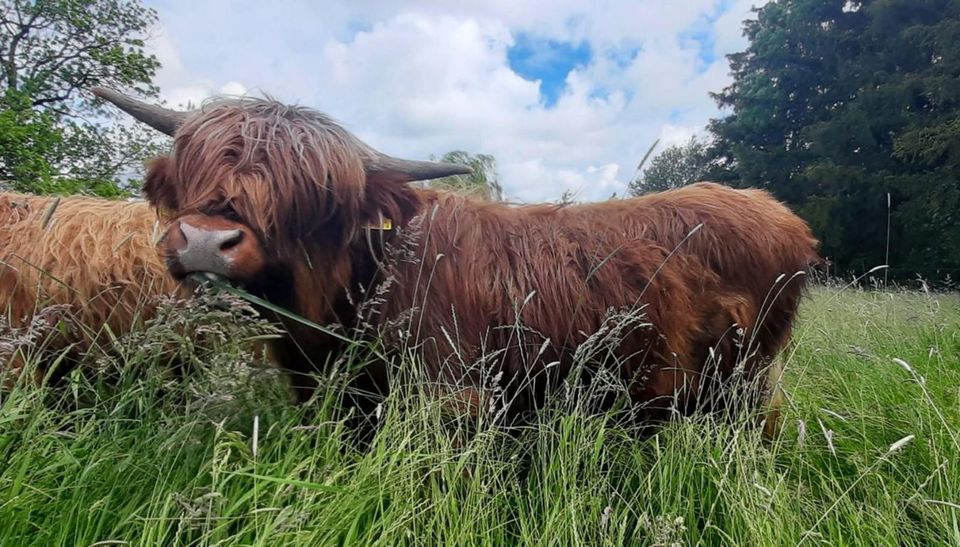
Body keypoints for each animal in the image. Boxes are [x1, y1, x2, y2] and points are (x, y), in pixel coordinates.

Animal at [95, 88, 816, 436]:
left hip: (746, 383)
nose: (203, 240)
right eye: (195, 170)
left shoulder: (454, 400)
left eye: (314, 196)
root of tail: (774, 208)